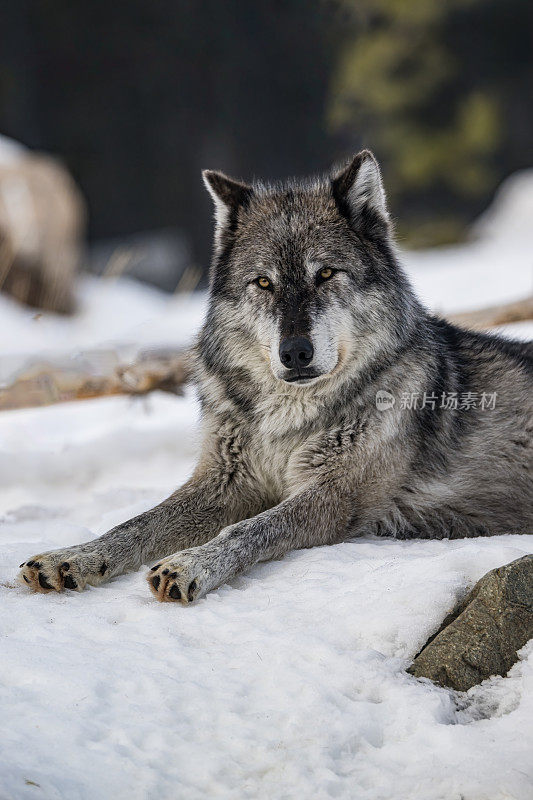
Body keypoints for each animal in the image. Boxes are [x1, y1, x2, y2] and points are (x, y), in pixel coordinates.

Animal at [17, 150, 532, 604]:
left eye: (326, 273)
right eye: (263, 282)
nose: (295, 352)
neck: (287, 418)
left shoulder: (334, 496)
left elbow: (249, 528)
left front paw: (190, 564)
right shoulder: (224, 480)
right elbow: (136, 523)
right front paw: (72, 558)